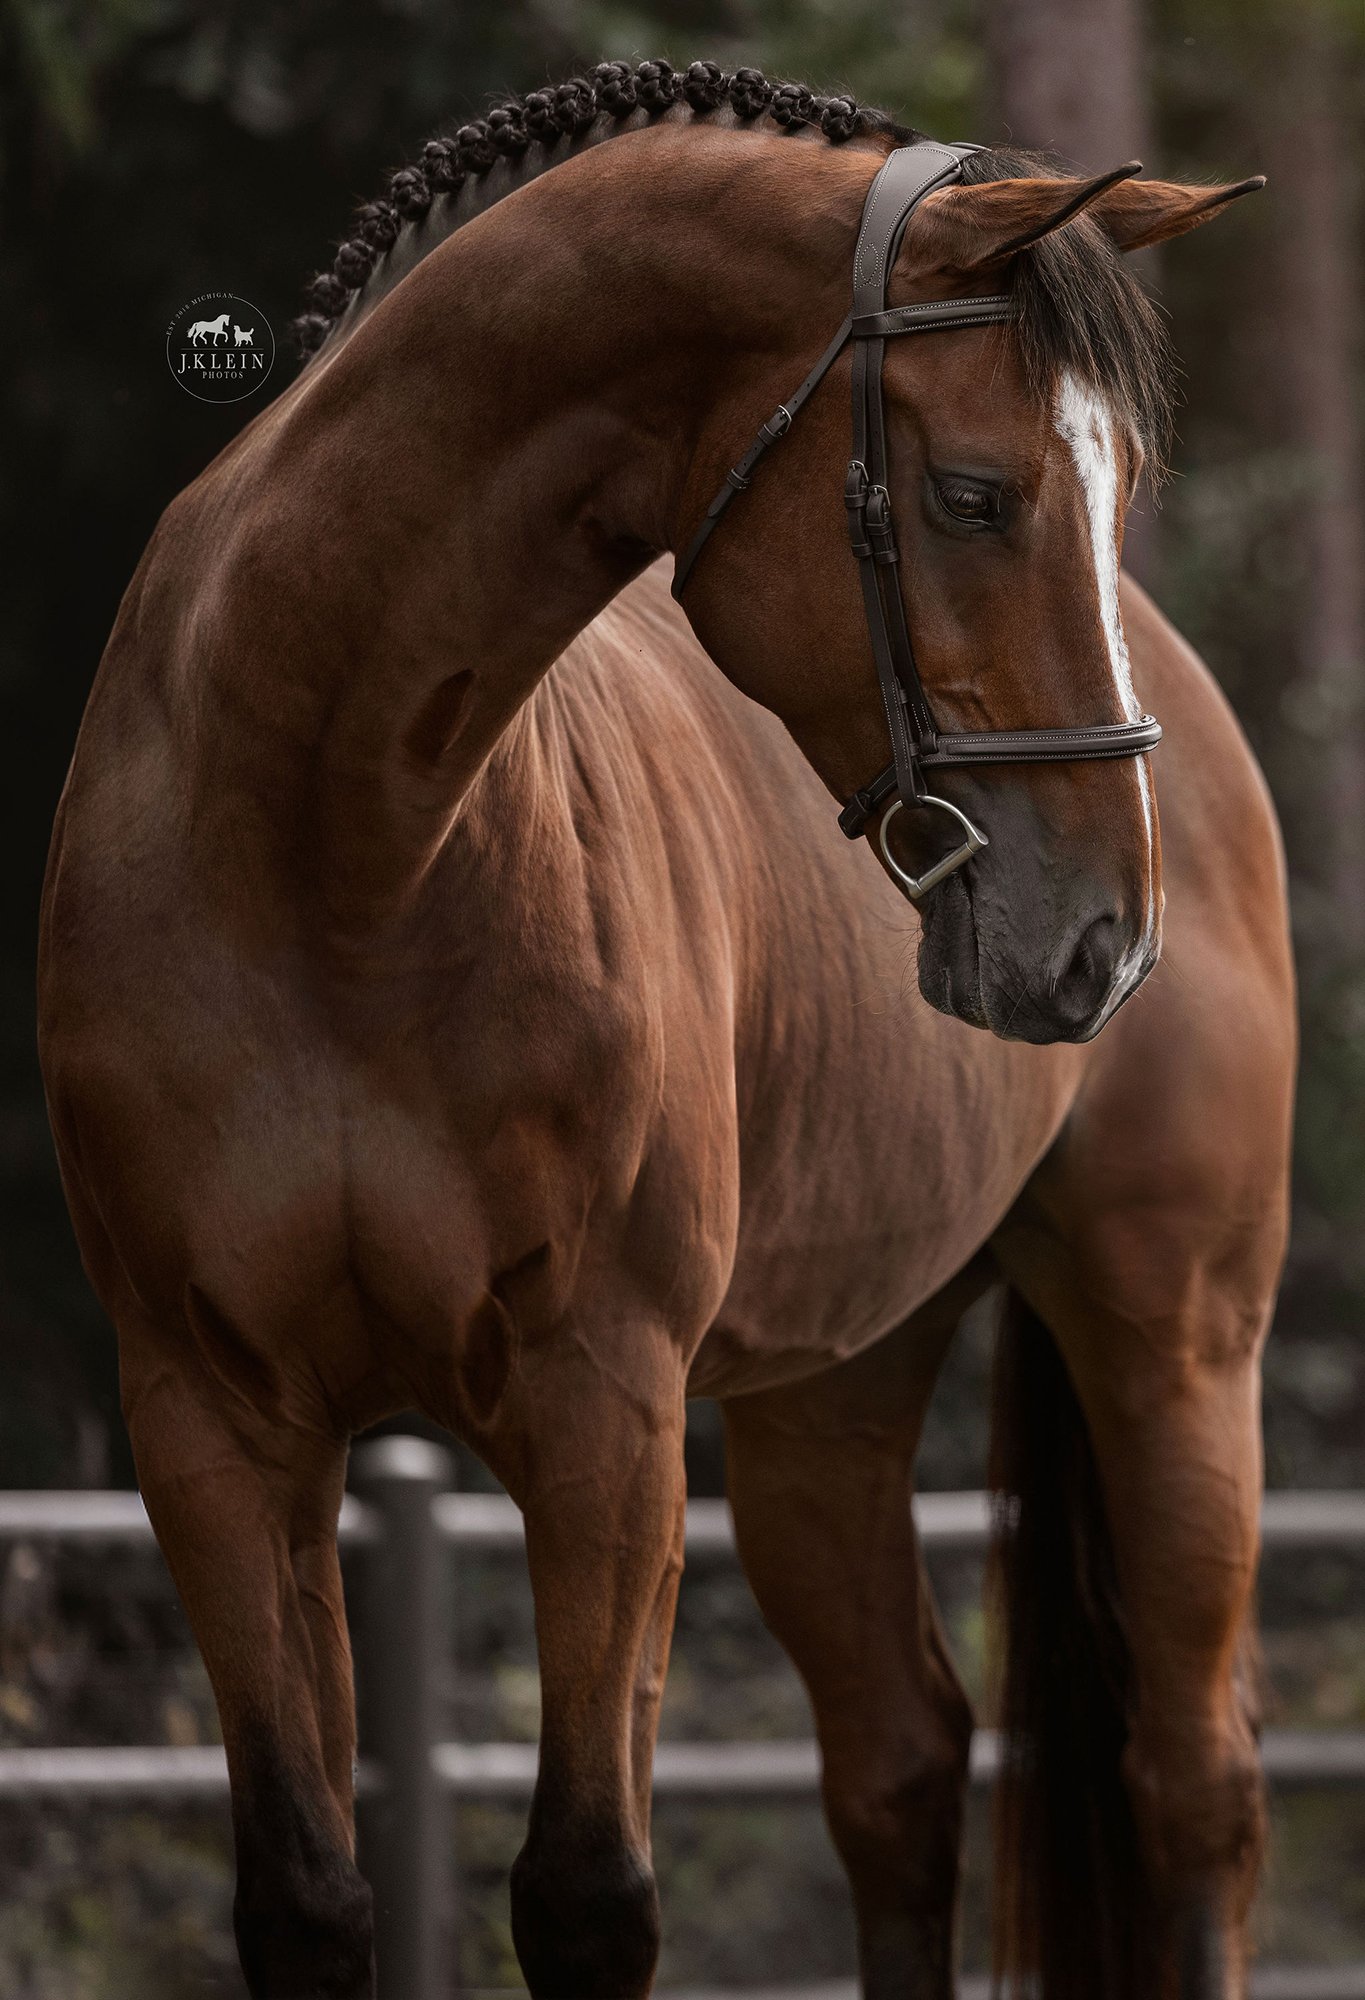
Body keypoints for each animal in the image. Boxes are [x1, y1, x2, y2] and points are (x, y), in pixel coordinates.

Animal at [38, 60, 1293, 2000]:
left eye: (1120, 487)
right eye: (976, 495)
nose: (1105, 938)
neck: (330, 847)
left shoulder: (604, 1414)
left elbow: (586, 1892)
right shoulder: (211, 1425)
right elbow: (307, 1893)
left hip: (1176, 1342)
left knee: (1193, 1789)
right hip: (832, 1399)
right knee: (899, 1764)